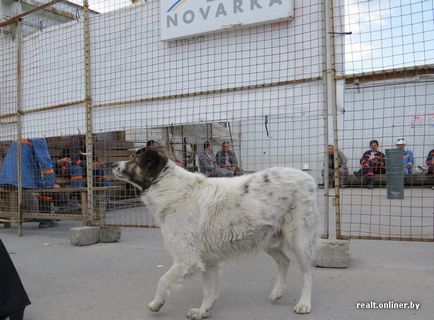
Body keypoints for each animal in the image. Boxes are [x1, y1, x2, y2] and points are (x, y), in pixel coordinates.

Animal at [112, 151, 318, 320]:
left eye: (134, 159)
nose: (112, 164)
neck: (166, 186)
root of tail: (308, 177)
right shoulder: (207, 260)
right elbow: (209, 290)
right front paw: (203, 310)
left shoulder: (187, 259)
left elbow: (163, 281)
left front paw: (156, 303)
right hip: (267, 239)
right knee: (284, 261)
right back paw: (278, 292)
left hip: (299, 240)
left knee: (306, 272)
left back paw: (304, 303)